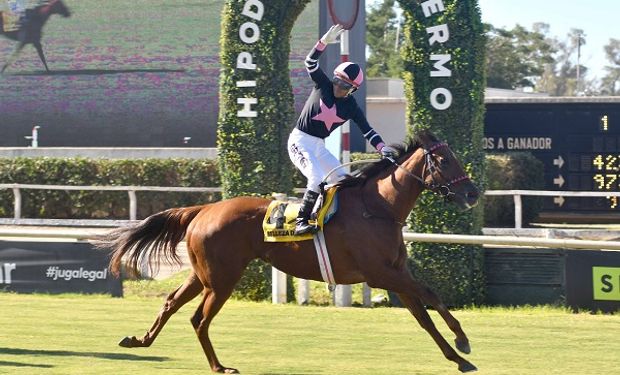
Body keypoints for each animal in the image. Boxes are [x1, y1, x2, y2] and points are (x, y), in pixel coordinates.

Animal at [100, 131, 480, 374]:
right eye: (443, 160)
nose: (473, 193)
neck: (377, 207)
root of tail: (204, 209)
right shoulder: (381, 273)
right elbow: (432, 295)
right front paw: (463, 340)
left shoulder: (396, 273)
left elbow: (424, 316)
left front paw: (459, 358)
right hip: (221, 280)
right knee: (199, 319)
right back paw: (219, 367)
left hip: (203, 275)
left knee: (171, 303)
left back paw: (139, 341)